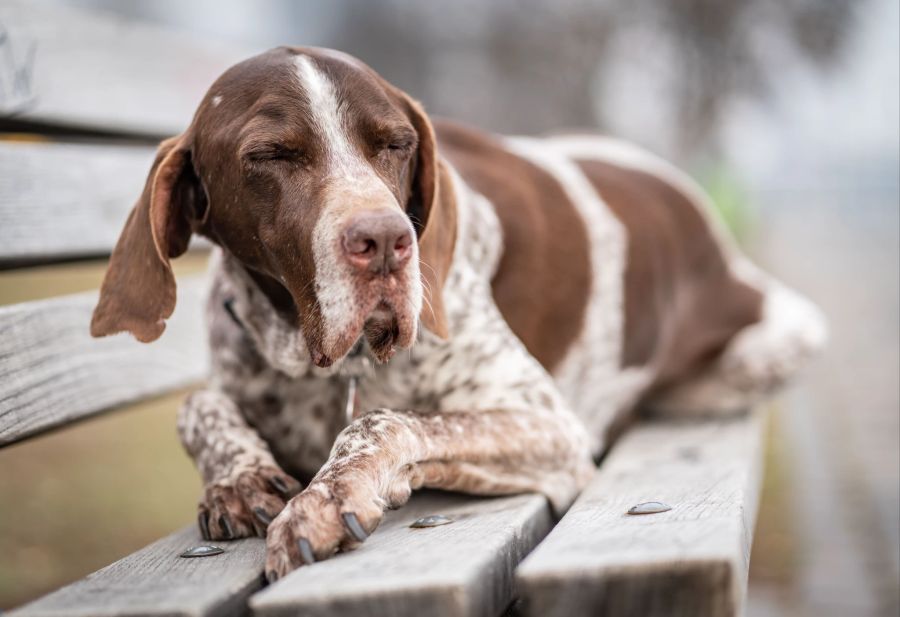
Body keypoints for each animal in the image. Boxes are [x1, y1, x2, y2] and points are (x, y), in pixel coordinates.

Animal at [88, 45, 828, 580]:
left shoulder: (549, 424)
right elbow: (198, 405)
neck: (313, 358)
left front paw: (326, 496)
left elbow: (386, 420)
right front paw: (237, 476)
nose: (386, 242)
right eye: (269, 155)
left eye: (394, 143)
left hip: (764, 350)